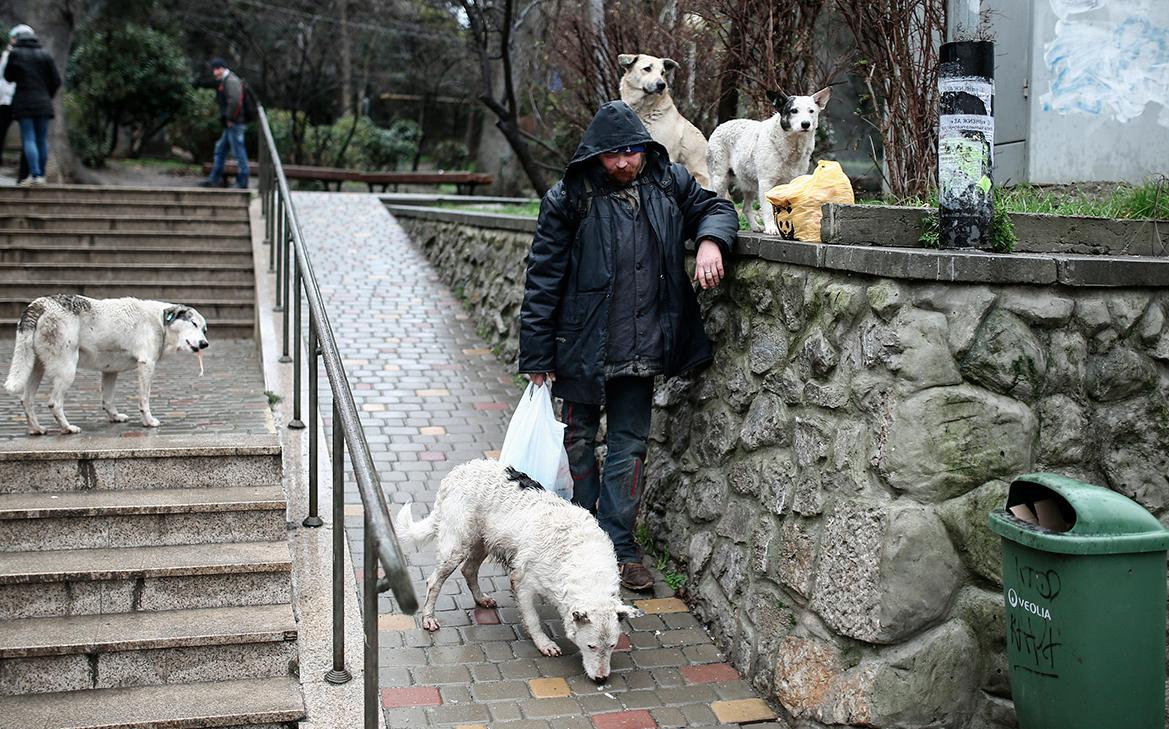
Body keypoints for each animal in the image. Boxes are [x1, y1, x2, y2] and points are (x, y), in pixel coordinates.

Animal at [4, 294, 210, 432]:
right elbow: (144, 400)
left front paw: (115, 417)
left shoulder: (110, 371)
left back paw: (37, 429)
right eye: (193, 324)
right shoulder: (147, 365)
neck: (159, 322)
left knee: (26, 399)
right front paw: (148, 422)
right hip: (67, 370)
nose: (205, 344)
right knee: (54, 403)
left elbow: (108, 400)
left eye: (204, 330)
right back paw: (68, 428)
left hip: (35, 368)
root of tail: (39, 304)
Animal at [397, 460, 645, 682]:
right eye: (591, 646)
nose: (602, 679)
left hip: (483, 541)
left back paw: (480, 598)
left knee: (468, 570)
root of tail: (457, 472)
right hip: (457, 546)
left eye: (612, 646)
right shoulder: (522, 582)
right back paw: (429, 617)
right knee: (433, 581)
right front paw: (544, 644)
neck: (584, 562)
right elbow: (532, 619)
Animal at [701, 88, 832, 234]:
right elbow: (768, 209)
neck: (791, 147)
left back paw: (755, 227)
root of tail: (720, 126)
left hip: (750, 185)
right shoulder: (766, 182)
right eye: (794, 110)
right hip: (720, 181)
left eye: (811, 111)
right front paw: (772, 228)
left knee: (746, 208)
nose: (805, 124)